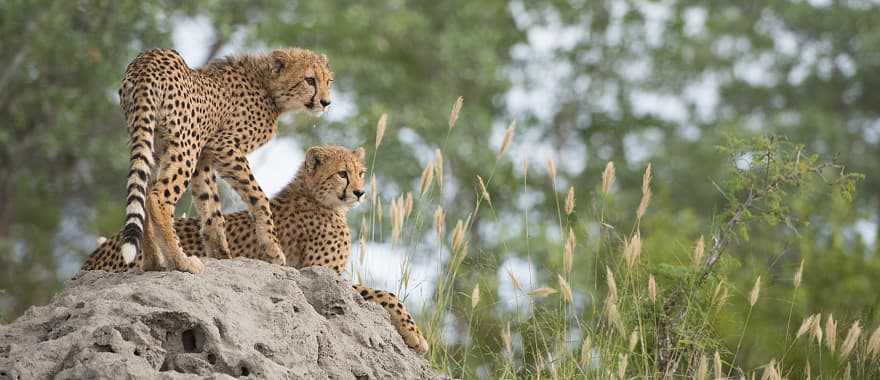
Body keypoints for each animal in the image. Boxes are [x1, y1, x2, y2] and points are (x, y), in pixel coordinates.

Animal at [82, 145, 430, 354]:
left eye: (360, 172)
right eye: (342, 173)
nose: (360, 192)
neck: (315, 196)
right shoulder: (318, 275)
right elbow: (387, 294)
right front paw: (416, 336)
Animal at [117, 47, 334, 274]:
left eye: (329, 81)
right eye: (310, 80)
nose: (326, 103)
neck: (267, 86)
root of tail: (147, 59)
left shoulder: (204, 156)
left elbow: (210, 205)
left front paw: (221, 254)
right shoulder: (222, 145)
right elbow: (258, 197)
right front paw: (273, 249)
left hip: (153, 144)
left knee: (144, 193)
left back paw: (153, 263)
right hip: (185, 147)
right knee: (157, 197)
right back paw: (181, 261)